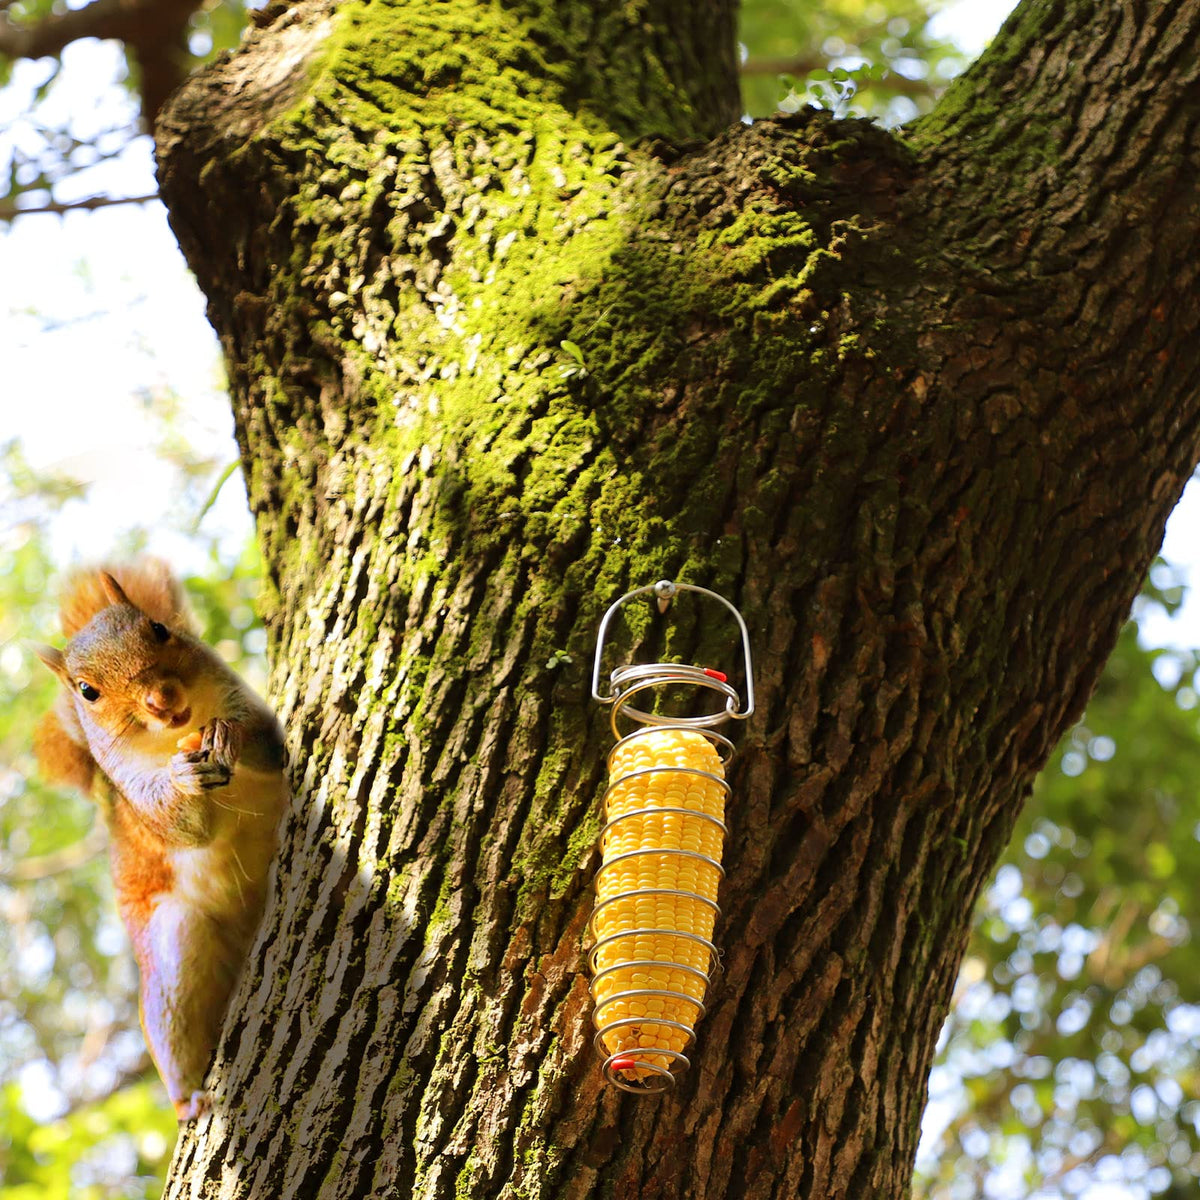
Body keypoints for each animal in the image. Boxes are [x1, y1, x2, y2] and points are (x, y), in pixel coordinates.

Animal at [34, 559, 288, 1122]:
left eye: (158, 629)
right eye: (87, 691)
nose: (162, 700)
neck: (177, 734)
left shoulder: (242, 699)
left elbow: (268, 741)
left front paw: (230, 735)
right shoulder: (134, 793)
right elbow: (182, 827)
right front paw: (182, 779)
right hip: (173, 947)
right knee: (174, 1023)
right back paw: (188, 1097)